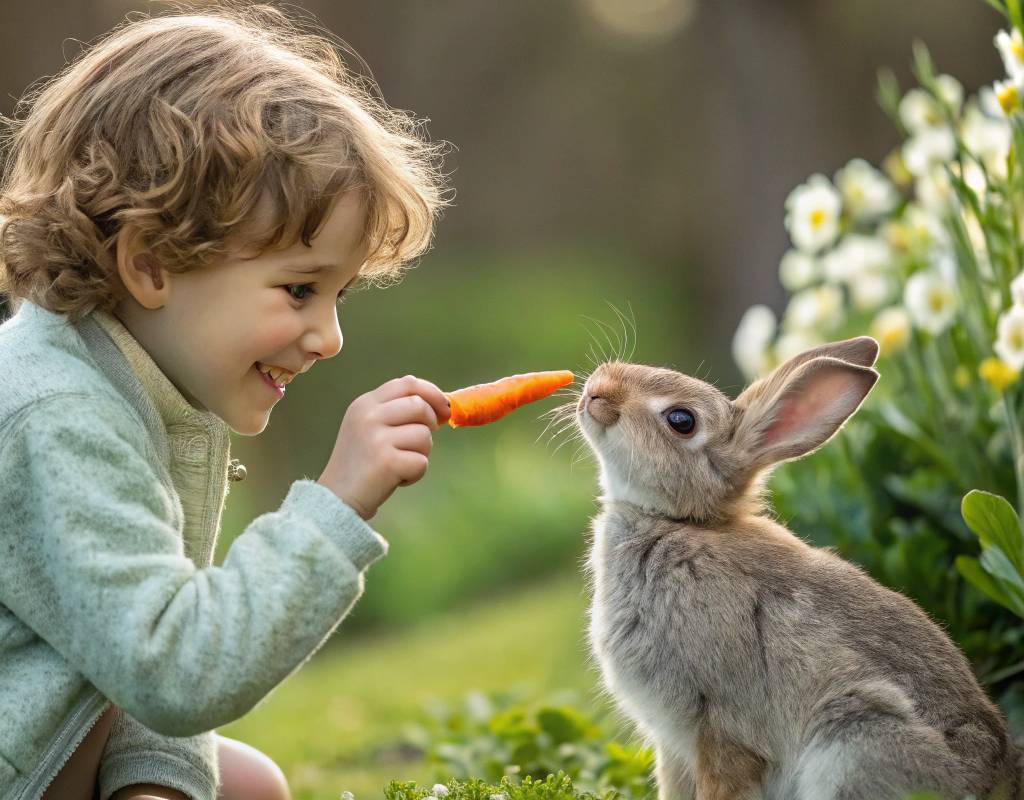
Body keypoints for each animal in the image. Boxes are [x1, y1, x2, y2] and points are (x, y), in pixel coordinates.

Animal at [573, 335, 1019, 798]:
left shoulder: (723, 726)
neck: (675, 523)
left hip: (854, 738)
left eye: (682, 420)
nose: (598, 389)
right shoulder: (672, 745)